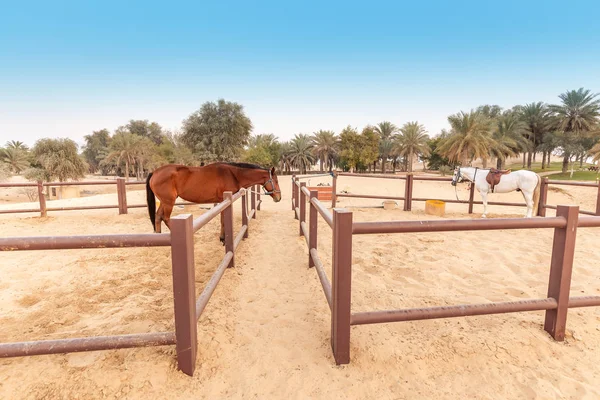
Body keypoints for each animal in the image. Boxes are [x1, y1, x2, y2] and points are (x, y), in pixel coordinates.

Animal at [149, 162, 282, 234]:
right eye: (275, 180)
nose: (279, 197)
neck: (232, 174)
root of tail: (154, 172)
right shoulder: (224, 201)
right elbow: (223, 221)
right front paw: (222, 238)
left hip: (164, 202)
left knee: (158, 216)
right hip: (169, 202)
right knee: (165, 218)